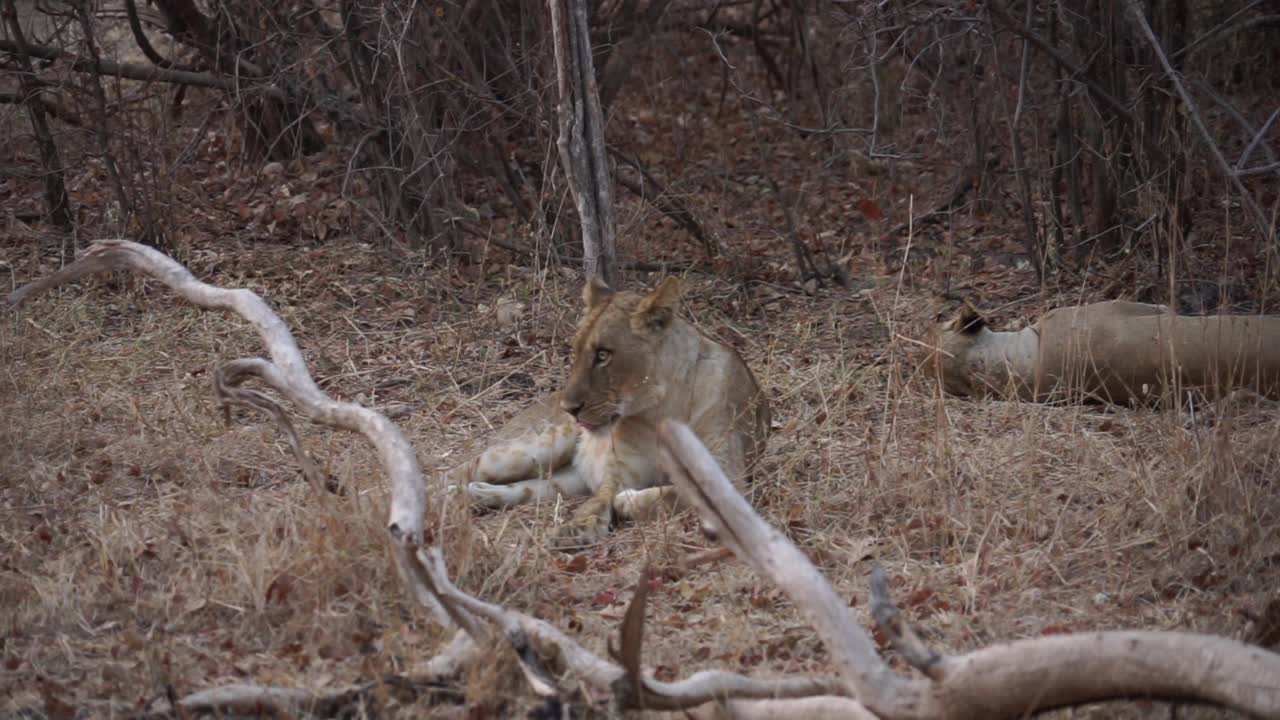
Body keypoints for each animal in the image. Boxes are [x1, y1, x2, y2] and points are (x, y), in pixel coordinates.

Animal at [450, 274, 768, 543]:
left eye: (603, 355)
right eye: (574, 352)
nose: (569, 408)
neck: (661, 410)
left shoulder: (728, 474)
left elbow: (679, 495)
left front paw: (628, 501)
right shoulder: (621, 471)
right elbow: (600, 500)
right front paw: (578, 527)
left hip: (565, 483)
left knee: (528, 488)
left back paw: (476, 495)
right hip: (536, 447)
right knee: (464, 466)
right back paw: (448, 497)